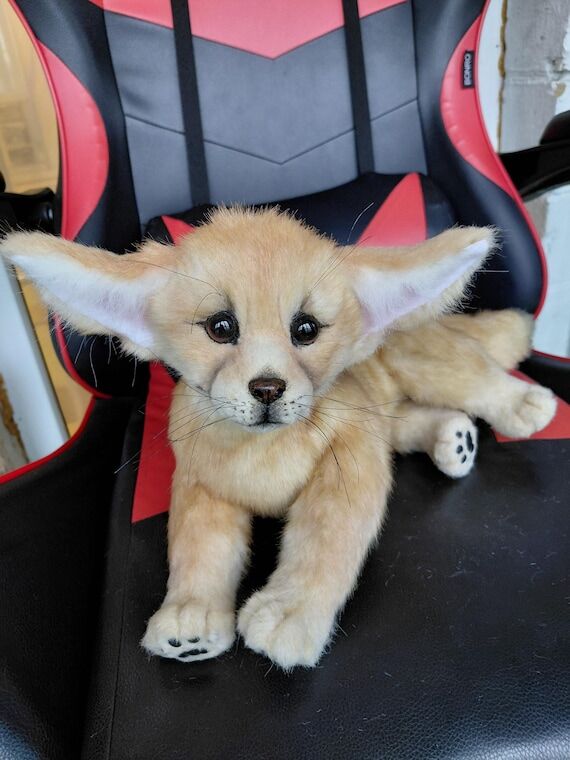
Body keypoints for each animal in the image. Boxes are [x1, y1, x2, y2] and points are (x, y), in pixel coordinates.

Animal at [0, 208, 556, 670]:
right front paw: (191, 615)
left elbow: (325, 541)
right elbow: (198, 548)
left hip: (423, 363)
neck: (261, 453)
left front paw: (291, 615)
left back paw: (527, 406)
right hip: (388, 406)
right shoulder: (203, 486)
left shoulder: (351, 458)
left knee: (476, 378)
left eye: (305, 329)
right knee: (415, 419)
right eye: (221, 327)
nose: (268, 388)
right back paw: (454, 440)